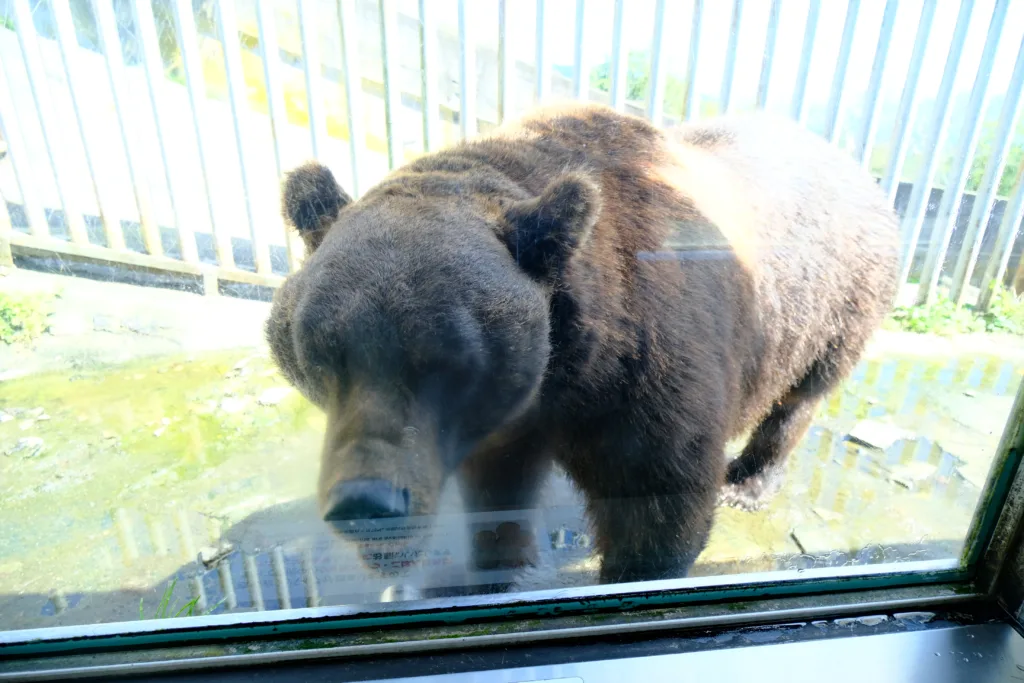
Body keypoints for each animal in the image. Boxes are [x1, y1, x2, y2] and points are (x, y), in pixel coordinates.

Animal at [268, 104, 901, 585]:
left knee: (799, 397)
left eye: (447, 361)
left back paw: (747, 485)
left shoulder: (646, 376)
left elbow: (659, 502)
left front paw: (634, 573)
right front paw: (497, 566)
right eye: (317, 351)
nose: (365, 503)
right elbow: (496, 488)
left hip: (834, 302)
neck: (570, 368)